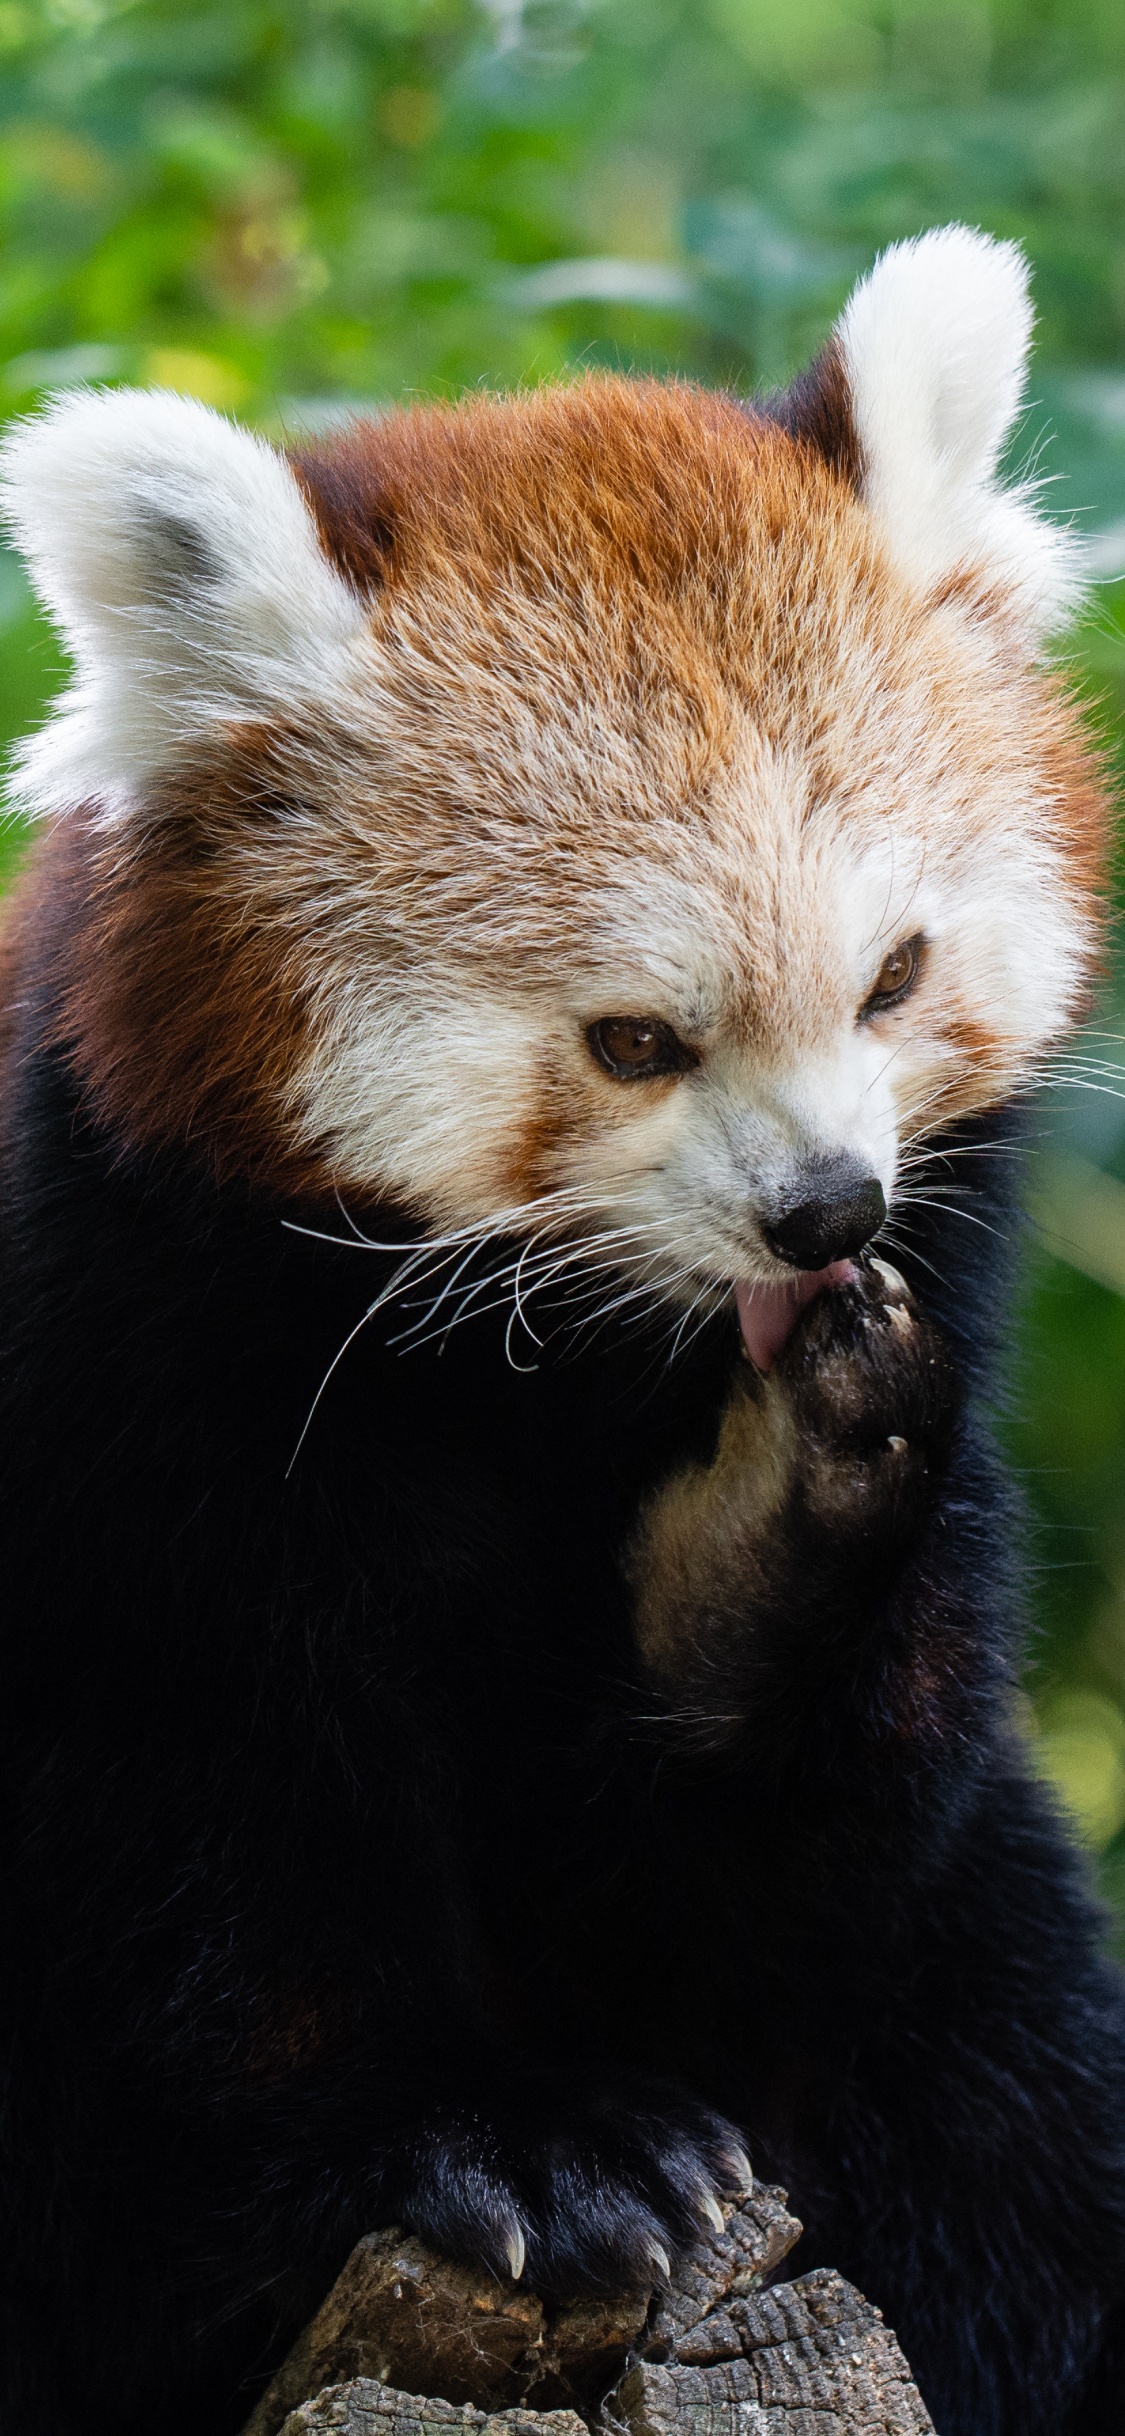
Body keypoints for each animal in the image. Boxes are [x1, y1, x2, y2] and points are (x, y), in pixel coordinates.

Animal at [0, 224, 1122, 2436]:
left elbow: (789, 1886)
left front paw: (774, 1513)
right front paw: (500, 2139)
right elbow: (198, 1832)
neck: (548, 1372)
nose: (824, 1207)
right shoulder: (117, 1344)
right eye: (631, 1043)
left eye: (890, 978)